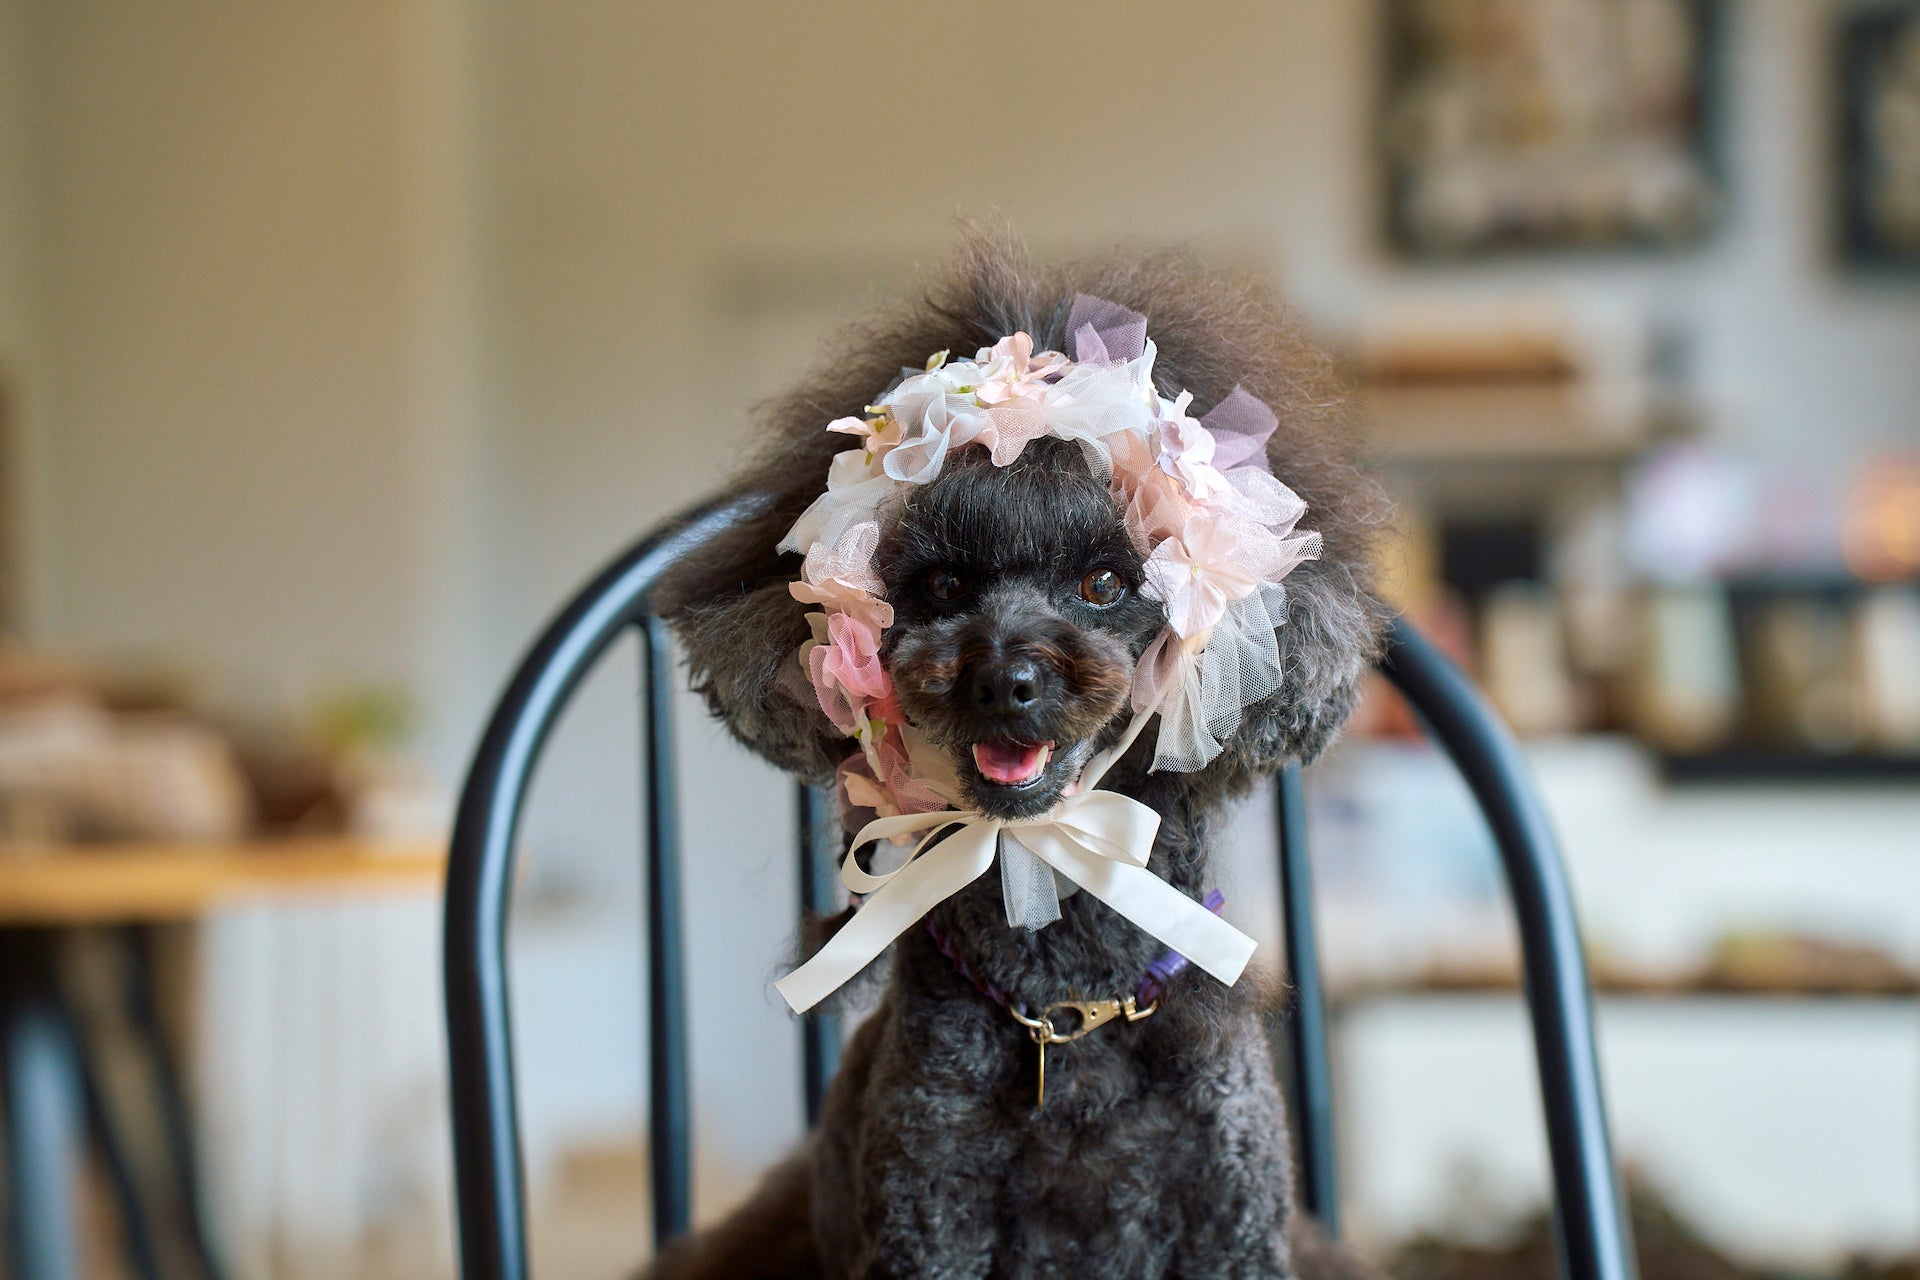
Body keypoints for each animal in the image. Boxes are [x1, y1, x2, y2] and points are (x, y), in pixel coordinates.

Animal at [651, 232, 1389, 1279]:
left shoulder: (1233, 1219)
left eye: (1105, 582)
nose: (1006, 679)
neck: (1067, 1001)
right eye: (941, 584)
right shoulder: (929, 1208)